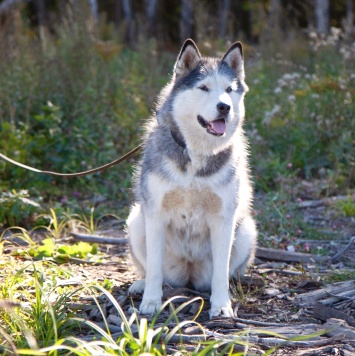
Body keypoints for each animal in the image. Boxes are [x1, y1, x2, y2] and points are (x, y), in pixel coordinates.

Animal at [126, 38, 258, 318]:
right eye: (204, 87)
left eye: (229, 89)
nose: (224, 107)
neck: (196, 152)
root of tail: (188, 276)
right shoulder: (155, 212)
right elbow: (154, 267)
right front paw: (151, 301)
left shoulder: (224, 217)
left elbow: (220, 272)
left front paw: (221, 305)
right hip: (136, 220)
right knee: (152, 270)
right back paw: (142, 285)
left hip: (246, 229)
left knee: (227, 272)